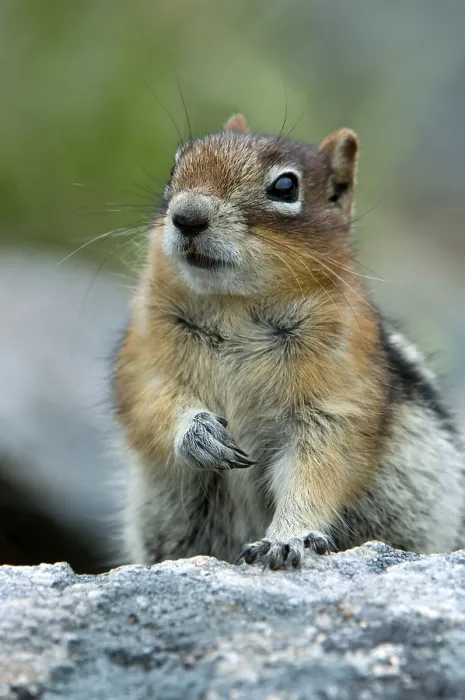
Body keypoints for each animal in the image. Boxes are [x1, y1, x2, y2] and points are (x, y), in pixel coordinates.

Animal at [112, 113, 465, 569]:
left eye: (285, 187)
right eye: (175, 166)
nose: (187, 216)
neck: (234, 305)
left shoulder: (338, 391)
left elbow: (318, 466)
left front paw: (288, 537)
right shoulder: (144, 353)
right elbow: (150, 402)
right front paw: (199, 434)